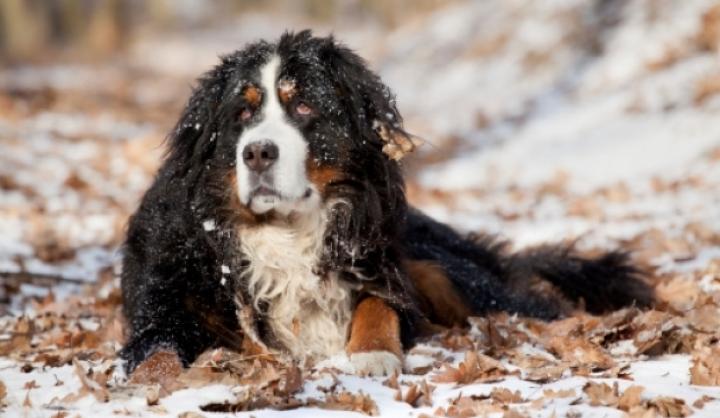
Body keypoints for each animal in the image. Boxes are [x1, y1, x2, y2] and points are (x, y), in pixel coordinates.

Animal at [121, 29, 656, 376]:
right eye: (242, 113)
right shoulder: (167, 301)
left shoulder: (377, 263)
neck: (284, 231)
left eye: (304, 107)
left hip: (443, 270)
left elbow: (380, 305)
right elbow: (157, 351)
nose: (257, 152)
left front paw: (372, 353)